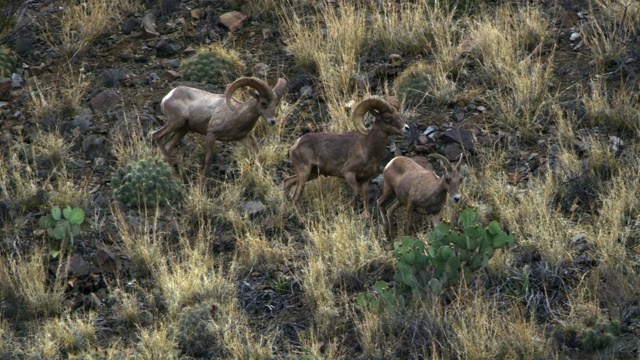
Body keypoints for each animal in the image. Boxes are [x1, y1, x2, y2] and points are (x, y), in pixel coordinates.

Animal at [153, 75, 288, 179]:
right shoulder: (211, 135)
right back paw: (174, 173)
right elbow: (208, 159)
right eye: (263, 103)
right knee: (156, 136)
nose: (272, 121)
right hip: (176, 123)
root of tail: (167, 97)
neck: (236, 113)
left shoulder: (241, 138)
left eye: (275, 104)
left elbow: (256, 152)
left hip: (182, 130)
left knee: (167, 145)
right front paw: (202, 184)